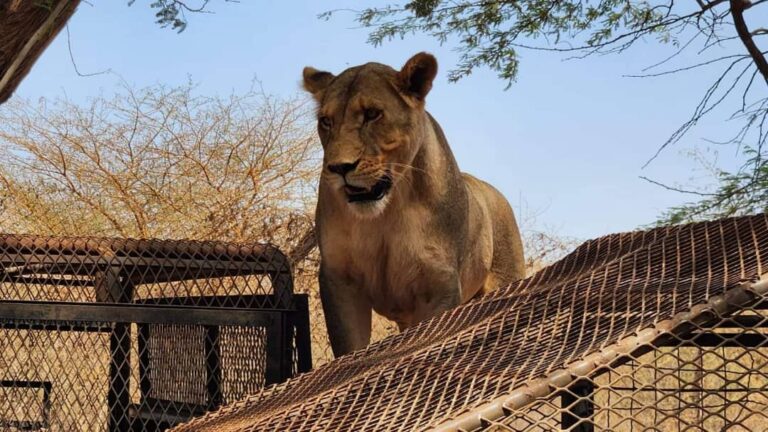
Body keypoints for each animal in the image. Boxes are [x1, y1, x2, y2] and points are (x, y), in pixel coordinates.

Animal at [303, 52, 525, 357]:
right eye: (326, 121)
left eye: (372, 114)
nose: (339, 168)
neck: (387, 210)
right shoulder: (340, 278)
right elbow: (350, 348)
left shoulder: (439, 286)